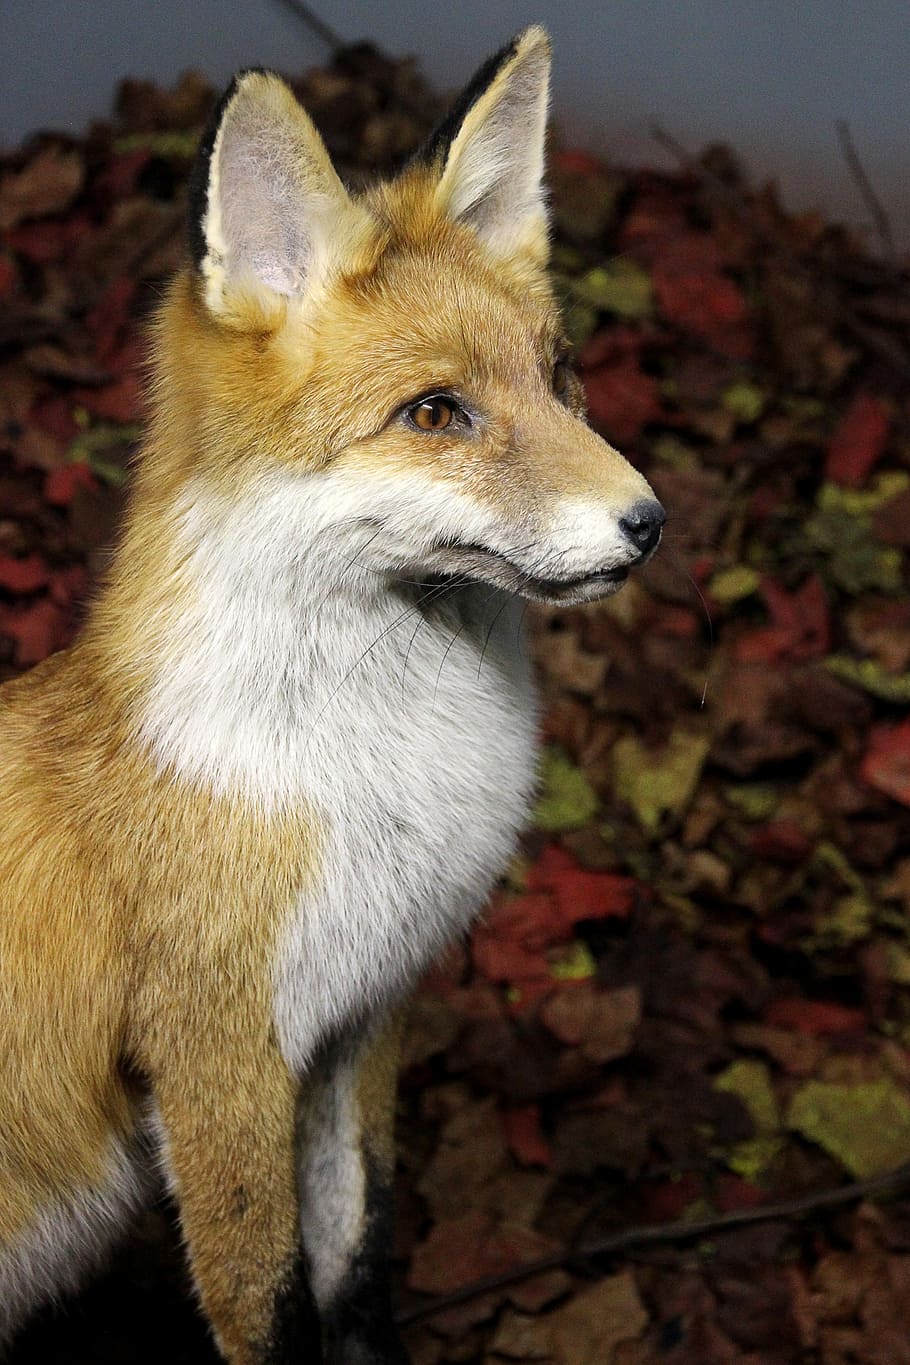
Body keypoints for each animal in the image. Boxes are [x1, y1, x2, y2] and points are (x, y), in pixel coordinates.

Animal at [0, 25, 663, 1365]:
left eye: (562, 379)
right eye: (436, 413)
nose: (649, 523)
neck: (362, 787)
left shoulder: (364, 1019)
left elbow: (358, 1264)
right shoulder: (220, 1064)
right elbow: (267, 1311)